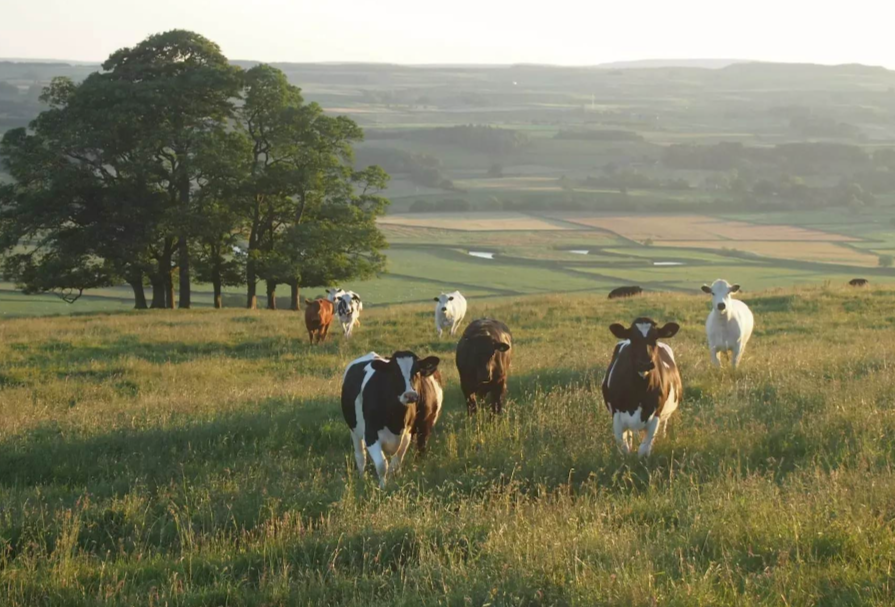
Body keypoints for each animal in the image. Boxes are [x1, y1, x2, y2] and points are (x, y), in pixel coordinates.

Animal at [342, 352, 442, 490]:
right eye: (394, 372)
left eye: (416, 371)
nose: (410, 395)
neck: (395, 419)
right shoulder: (370, 435)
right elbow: (381, 465)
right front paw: (383, 487)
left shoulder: (407, 435)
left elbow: (395, 464)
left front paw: (392, 482)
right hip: (354, 430)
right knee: (361, 457)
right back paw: (363, 478)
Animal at [600, 318, 688, 456]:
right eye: (633, 338)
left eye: (655, 338)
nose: (645, 363)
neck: (639, 390)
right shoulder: (617, 416)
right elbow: (624, 448)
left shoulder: (655, 416)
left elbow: (644, 449)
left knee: (664, 425)